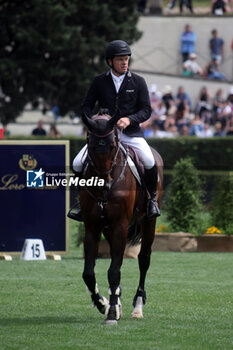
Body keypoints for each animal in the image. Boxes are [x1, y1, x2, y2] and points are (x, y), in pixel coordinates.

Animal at [79, 111, 163, 326]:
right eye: (91, 146)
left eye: (112, 146)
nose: (104, 184)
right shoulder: (92, 227)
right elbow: (88, 273)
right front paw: (103, 303)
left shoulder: (120, 226)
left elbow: (114, 270)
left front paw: (111, 313)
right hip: (109, 229)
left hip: (148, 222)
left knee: (144, 259)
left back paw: (137, 306)